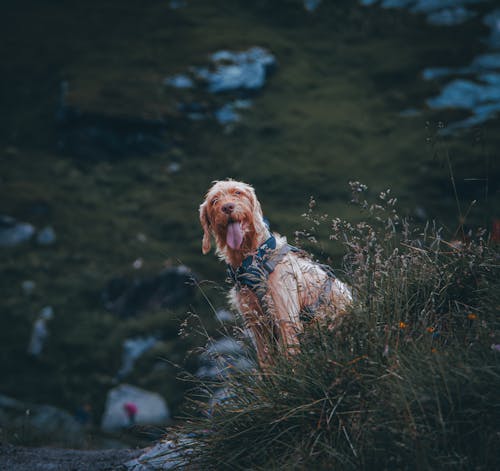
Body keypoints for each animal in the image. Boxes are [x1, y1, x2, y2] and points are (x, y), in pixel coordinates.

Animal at [199, 179, 352, 366]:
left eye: (237, 193)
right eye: (214, 200)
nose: (227, 207)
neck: (253, 259)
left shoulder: (285, 315)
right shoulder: (257, 324)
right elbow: (266, 362)